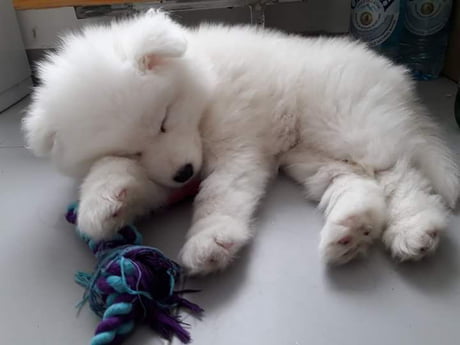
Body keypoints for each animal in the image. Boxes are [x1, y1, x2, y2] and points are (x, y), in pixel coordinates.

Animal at [23, 10, 458, 274]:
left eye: (164, 120)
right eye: (131, 148)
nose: (184, 173)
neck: (205, 92)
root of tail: (395, 78)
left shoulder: (236, 148)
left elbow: (218, 195)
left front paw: (209, 240)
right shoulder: (166, 177)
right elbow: (125, 176)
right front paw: (102, 203)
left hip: (348, 125)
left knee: (400, 175)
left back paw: (415, 228)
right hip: (310, 155)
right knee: (356, 182)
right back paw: (351, 228)